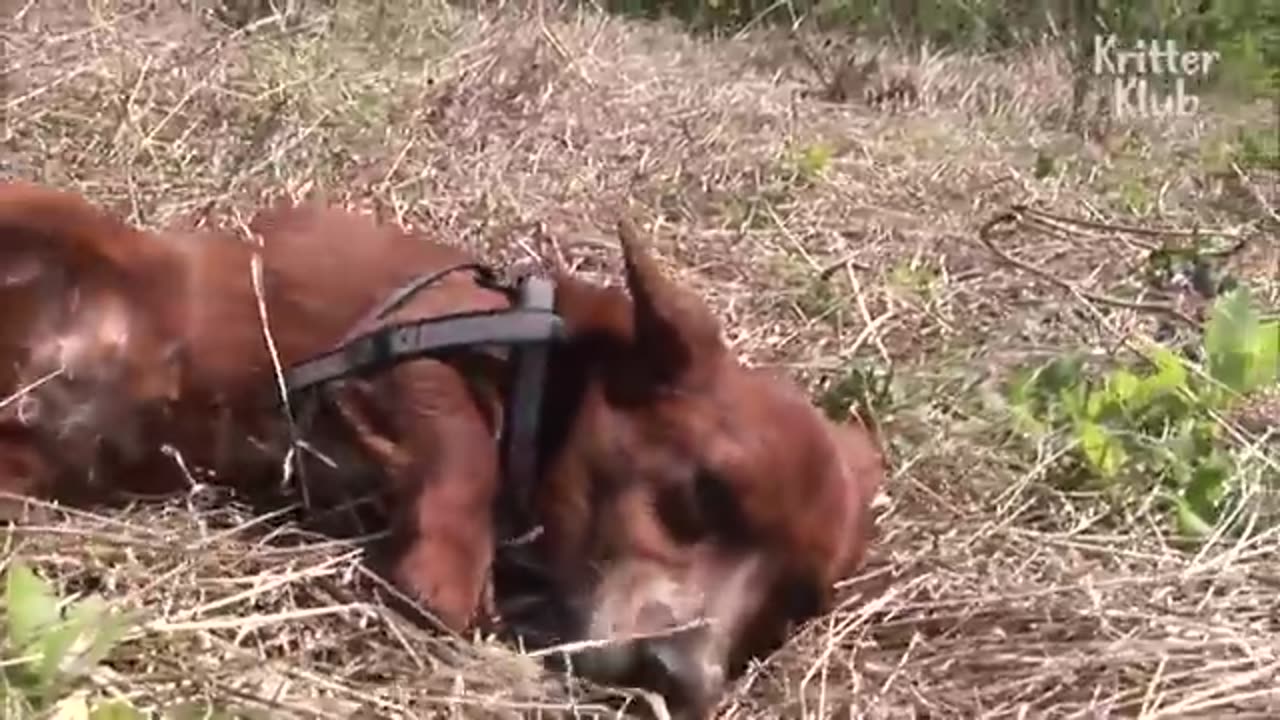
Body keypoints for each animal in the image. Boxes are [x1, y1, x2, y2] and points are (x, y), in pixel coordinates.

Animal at [0, 181, 885, 712]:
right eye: (701, 494)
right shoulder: (405, 341)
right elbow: (465, 453)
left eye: (791, 607)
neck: (551, 355)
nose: (687, 683)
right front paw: (448, 571)